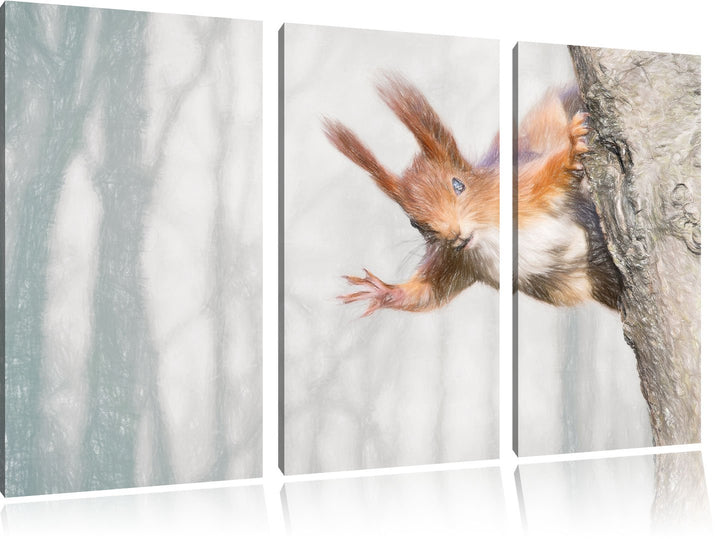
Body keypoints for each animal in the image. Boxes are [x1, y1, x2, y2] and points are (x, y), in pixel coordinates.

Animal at [323, 75, 622, 316]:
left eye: (459, 185)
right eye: (414, 222)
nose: (454, 234)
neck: (488, 235)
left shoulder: (523, 190)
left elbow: (554, 173)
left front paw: (572, 148)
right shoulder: (456, 260)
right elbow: (430, 291)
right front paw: (383, 291)